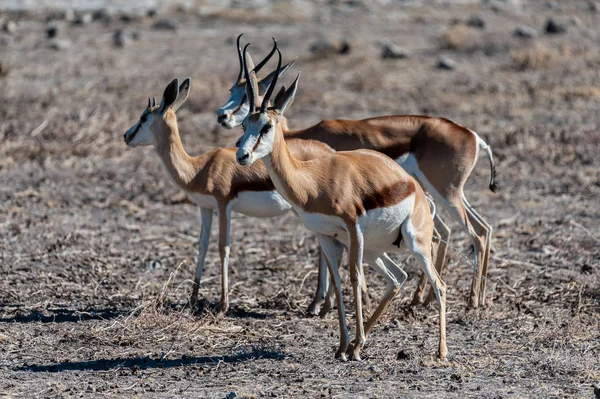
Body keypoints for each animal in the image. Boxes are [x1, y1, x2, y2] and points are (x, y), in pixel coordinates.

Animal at [123, 77, 338, 316]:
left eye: (144, 117)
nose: (126, 136)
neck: (199, 168)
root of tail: (329, 152)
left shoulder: (223, 205)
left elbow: (223, 247)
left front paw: (223, 304)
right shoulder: (205, 207)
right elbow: (202, 245)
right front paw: (193, 299)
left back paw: (322, 305)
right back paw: (318, 304)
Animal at [219, 36, 496, 310]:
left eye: (245, 100)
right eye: (232, 91)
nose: (222, 116)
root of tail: (473, 136)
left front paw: (323, 303)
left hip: (445, 193)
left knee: (473, 235)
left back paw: (470, 300)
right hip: (447, 194)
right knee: (477, 229)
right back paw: (442, 299)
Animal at [234, 44, 446, 362]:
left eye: (267, 126)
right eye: (246, 123)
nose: (242, 156)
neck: (312, 182)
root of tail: (416, 190)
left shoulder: (352, 228)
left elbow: (354, 278)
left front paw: (353, 346)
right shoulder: (326, 235)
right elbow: (335, 280)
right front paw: (343, 346)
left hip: (414, 243)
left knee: (439, 284)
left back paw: (440, 351)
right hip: (374, 249)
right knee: (397, 277)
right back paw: (363, 340)